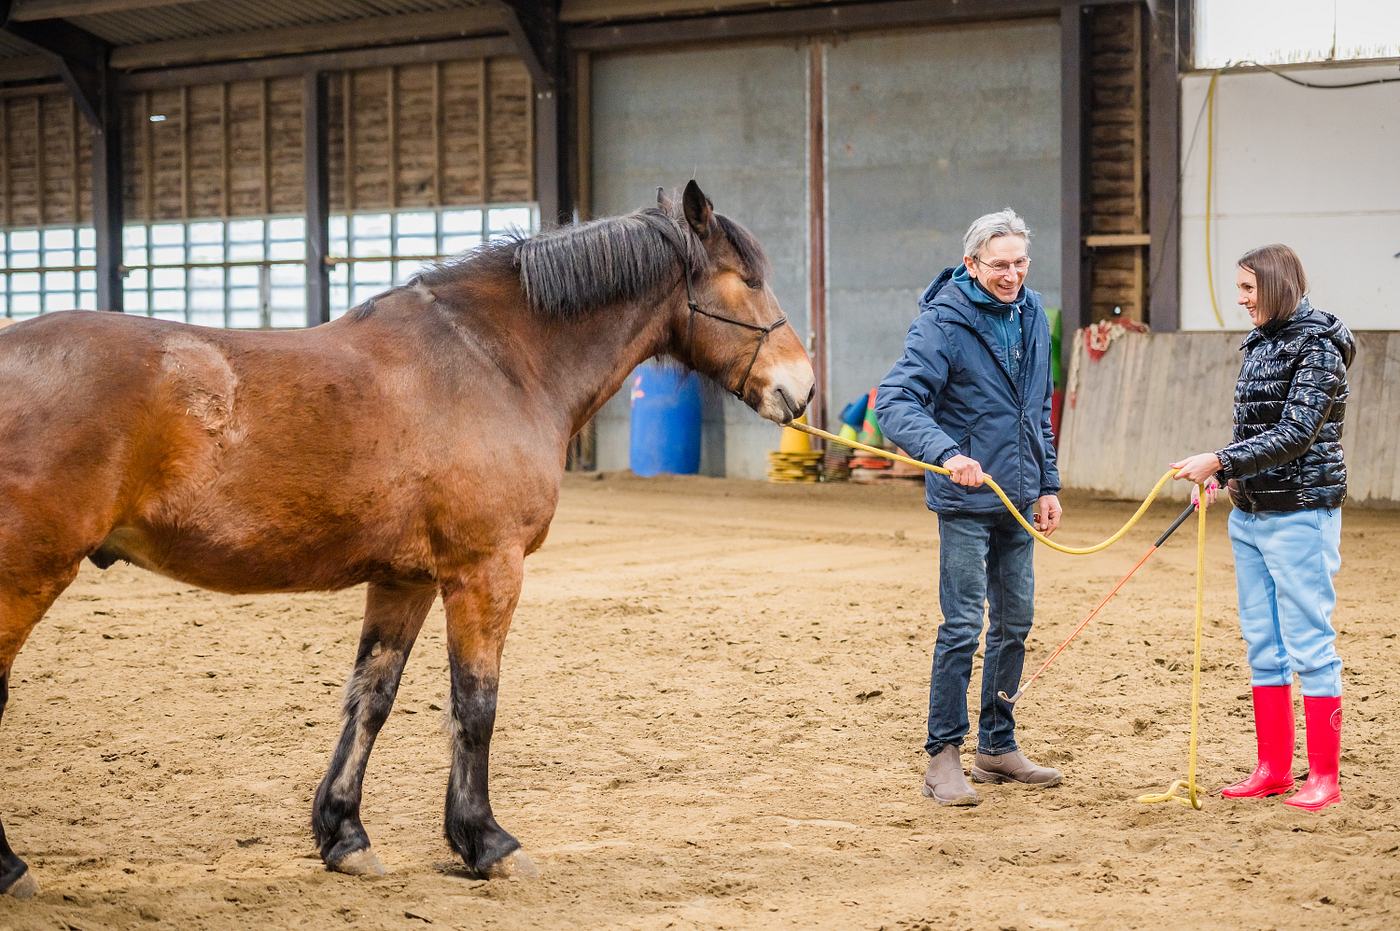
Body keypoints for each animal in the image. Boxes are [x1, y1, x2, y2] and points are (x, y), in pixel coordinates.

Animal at [0, 180, 813, 896]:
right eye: (746, 280)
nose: (801, 389)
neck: (496, 361)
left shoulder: (406, 579)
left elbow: (371, 698)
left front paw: (344, 836)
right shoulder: (486, 571)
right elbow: (475, 705)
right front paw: (486, 843)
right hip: (27, 574)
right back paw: (11, 869)